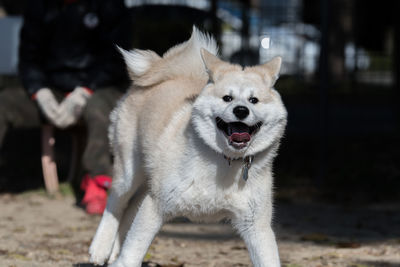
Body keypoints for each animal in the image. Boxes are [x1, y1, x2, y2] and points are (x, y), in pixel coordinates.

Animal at [89, 27, 286, 267]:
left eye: (254, 100)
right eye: (227, 98)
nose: (241, 110)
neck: (224, 160)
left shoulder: (256, 226)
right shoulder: (156, 204)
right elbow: (132, 251)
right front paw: (120, 258)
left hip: (148, 180)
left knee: (128, 211)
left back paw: (113, 251)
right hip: (129, 173)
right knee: (116, 203)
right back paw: (100, 248)